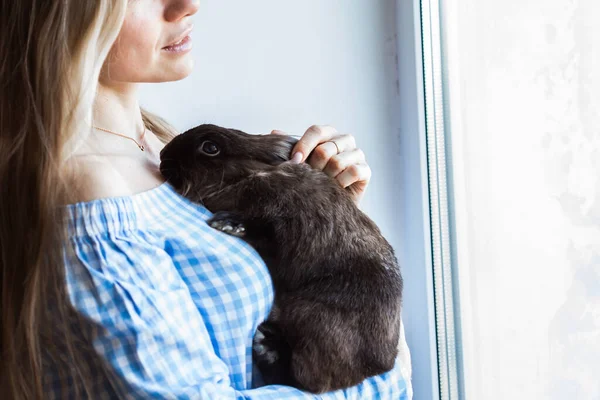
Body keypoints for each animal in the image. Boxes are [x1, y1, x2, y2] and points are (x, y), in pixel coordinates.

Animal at [159, 123, 404, 392]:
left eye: (210, 147)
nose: (162, 156)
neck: (251, 174)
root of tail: (377, 366)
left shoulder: (280, 221)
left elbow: (262, 229)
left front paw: (227, 224)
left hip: (312, 322)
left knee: (303, 380)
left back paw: (264, 346)